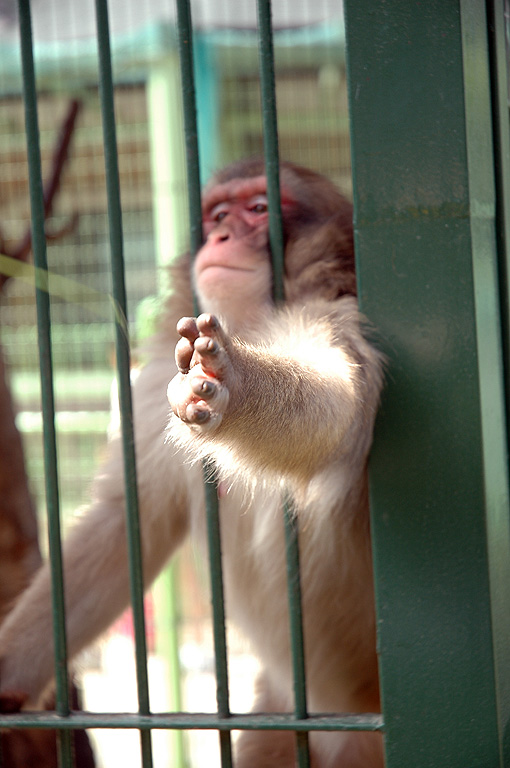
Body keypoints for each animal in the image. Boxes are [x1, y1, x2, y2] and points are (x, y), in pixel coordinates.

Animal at [0, 158, 384, 768]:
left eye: (258, 208)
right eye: (218, 213)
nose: (222, 236)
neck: (253, 322)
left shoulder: (331, 316)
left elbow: (333, 405)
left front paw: (240, 385)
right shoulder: (158, 372)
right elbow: (127, 518)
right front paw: (7, 674)